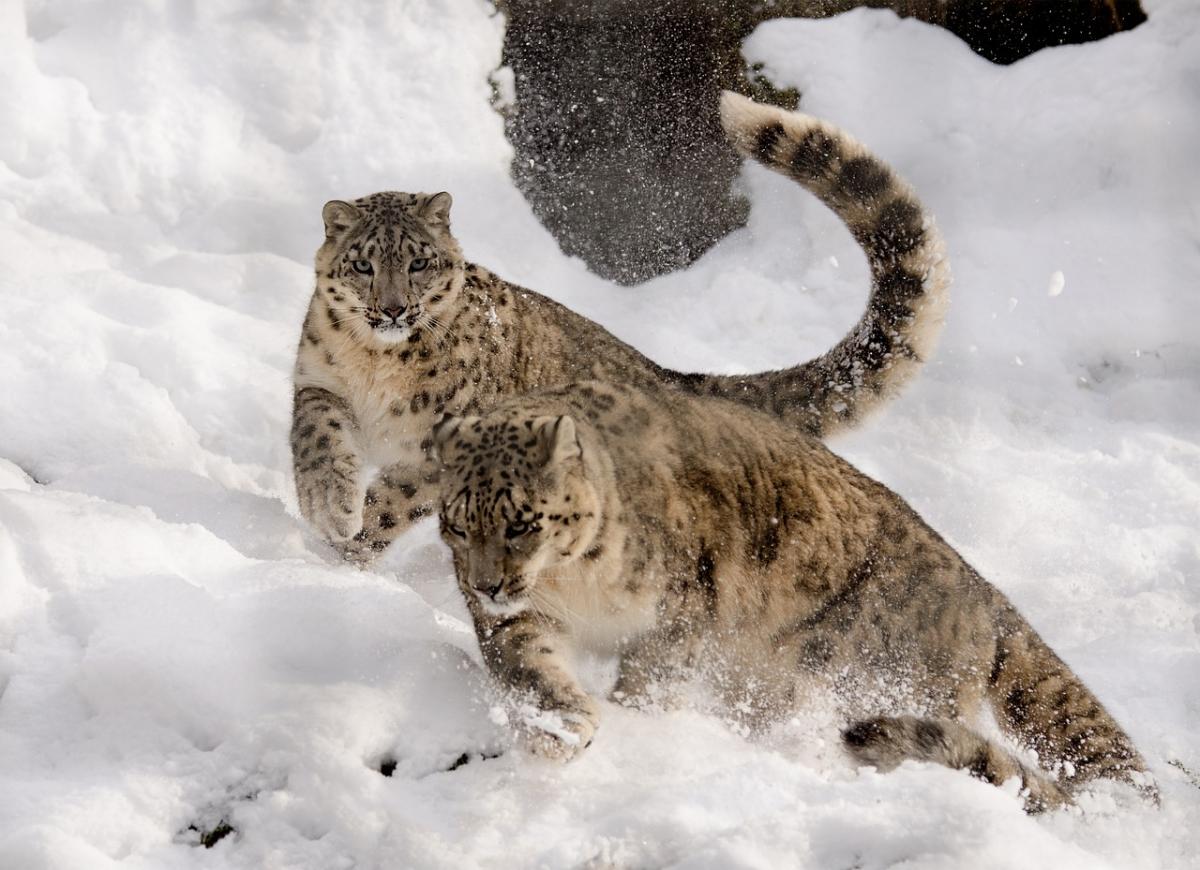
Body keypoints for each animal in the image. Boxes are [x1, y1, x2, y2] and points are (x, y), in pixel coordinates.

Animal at [290, 92, 950, 563]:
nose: (393, 309)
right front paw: (329, 506)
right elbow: (316, 437)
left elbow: (394, 501)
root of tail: (669, 375)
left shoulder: (445, 441)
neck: (378, 368)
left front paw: (346, 545)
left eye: (419, 262)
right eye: (364, 264)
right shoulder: (319, 379)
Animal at [430, 377, 1155, 813]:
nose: (489, 584)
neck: (575, 585)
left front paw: (636, 720)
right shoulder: (523, 619)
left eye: (521, 522)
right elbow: (531, 664)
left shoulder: (680, 615)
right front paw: (562, 728)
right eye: (458, 523)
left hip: (878, 679)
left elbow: (652, 678)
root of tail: (982, 591)